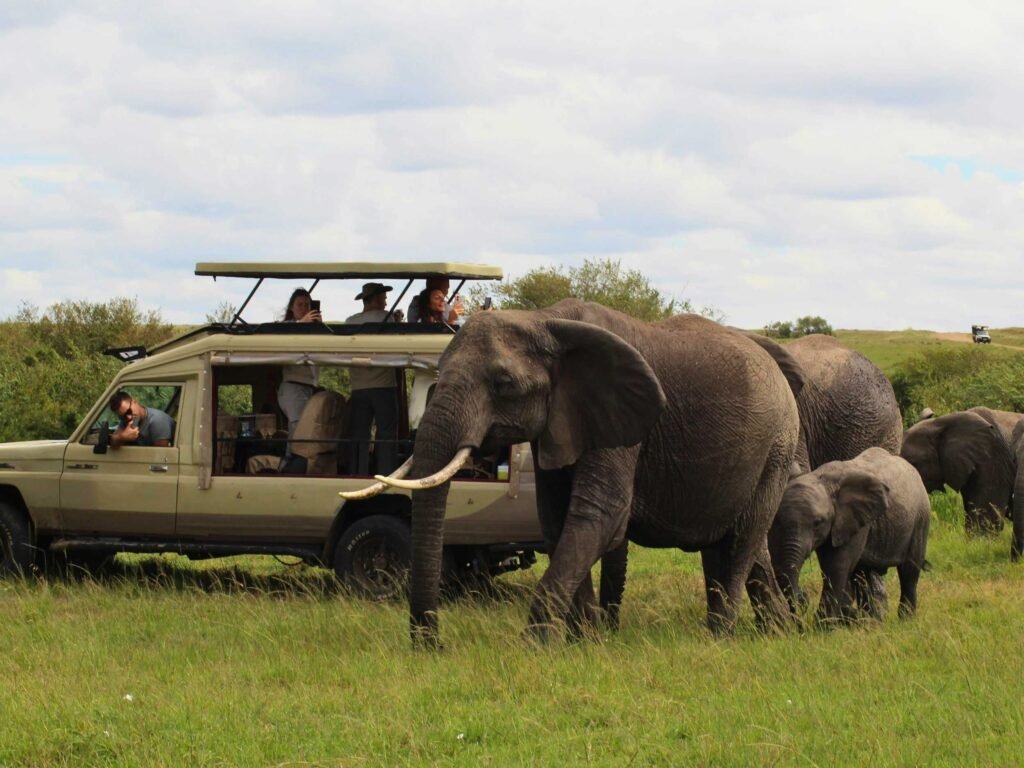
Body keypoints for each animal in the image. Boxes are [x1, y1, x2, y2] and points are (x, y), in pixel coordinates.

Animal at [366, 300, 802, 647]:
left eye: (504, 384)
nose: (433, 646)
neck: (543, 320)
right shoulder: (562, 421)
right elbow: (557, 520)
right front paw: (585, 642)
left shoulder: (623, 421)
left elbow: (600, 516)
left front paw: (533, 648)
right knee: (737, 542)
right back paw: (777, 634)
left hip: (777, 447)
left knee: (743, 540)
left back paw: (720, 637)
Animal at [768, 447, 931, 622]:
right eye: (776, 520)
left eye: (818, 522)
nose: (803, 597)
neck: (822, 478)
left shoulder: (854, 522)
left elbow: (836, 567)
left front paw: (823, 625)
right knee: (862, 574)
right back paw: (871, 621)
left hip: (920, 518)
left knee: (909, 571)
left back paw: (905, 620)